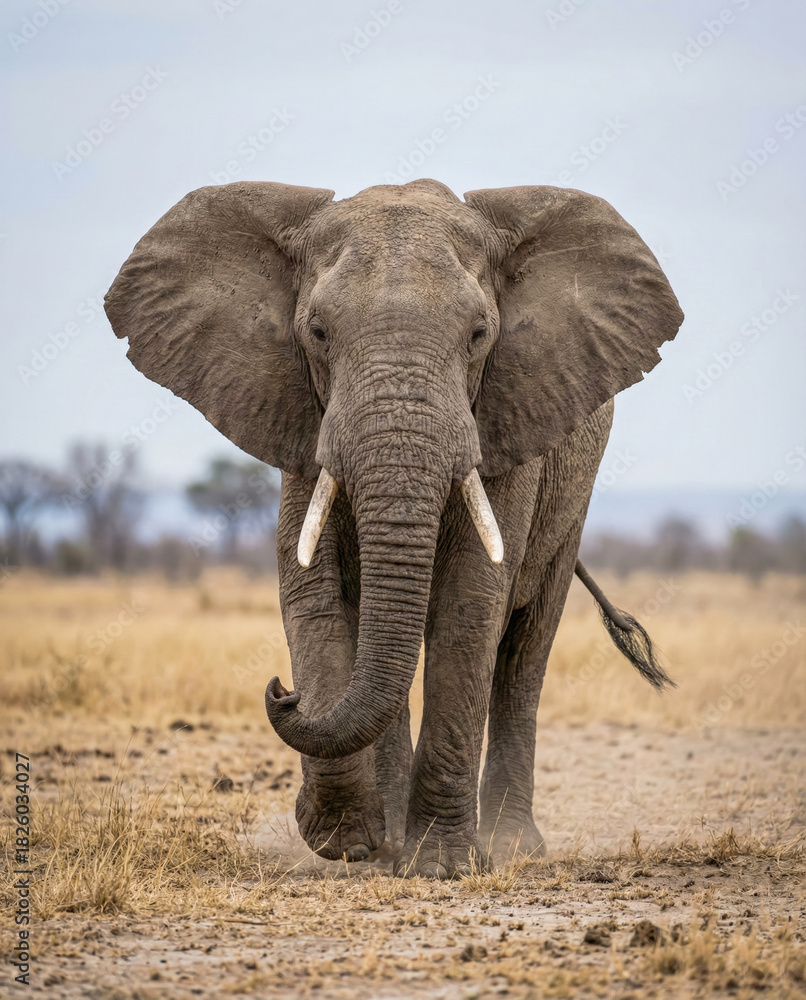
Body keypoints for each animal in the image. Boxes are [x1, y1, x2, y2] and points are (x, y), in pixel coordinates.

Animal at [105, 178, 683, 877]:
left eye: (480, 334)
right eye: (317, 332)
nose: (281, 693)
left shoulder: (506, 417)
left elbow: (472, 602)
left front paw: (441, 865)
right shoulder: (301, 418)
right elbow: (313, 591)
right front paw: (350, 842)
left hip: (574, 490)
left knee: (525, 646)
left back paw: (511, 847)